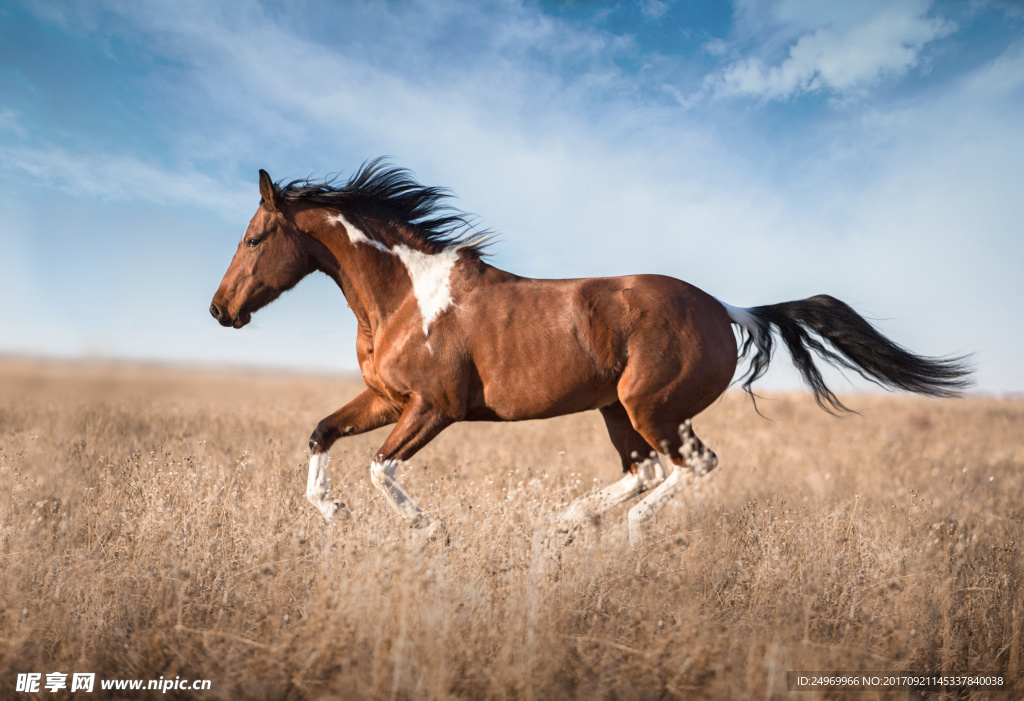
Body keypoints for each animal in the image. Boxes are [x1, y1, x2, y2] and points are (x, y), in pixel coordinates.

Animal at [211, 161, 970, 544]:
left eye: (253, 237)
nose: (220, 310)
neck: (406, 295)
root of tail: (727, 309)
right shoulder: (386, 398)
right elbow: (321, 433)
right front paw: (332, 512)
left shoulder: (434, 406)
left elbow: (379, 466)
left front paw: (428, 529)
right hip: (616, 410)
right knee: (645, 469)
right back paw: (570, 519)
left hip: (649, 406)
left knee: (689, 465)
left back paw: (623, 529)